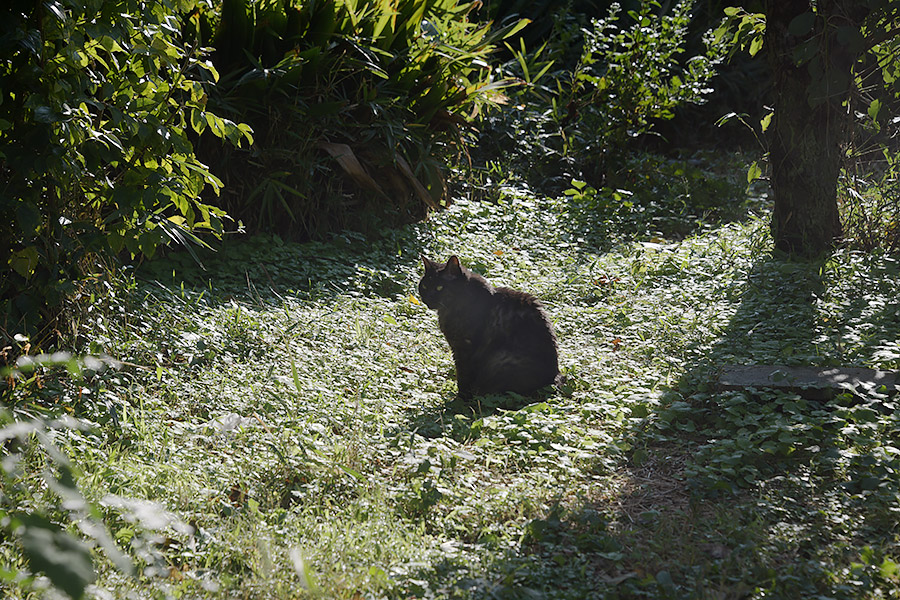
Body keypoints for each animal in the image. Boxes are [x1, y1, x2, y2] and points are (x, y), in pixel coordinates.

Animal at [418, 254, 560, 398]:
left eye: (439, 287)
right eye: (424, 286)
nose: (427, 299)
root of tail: (554, 378)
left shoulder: (465, 349)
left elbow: (463, 376)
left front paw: (460, 399)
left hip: (500, 360)